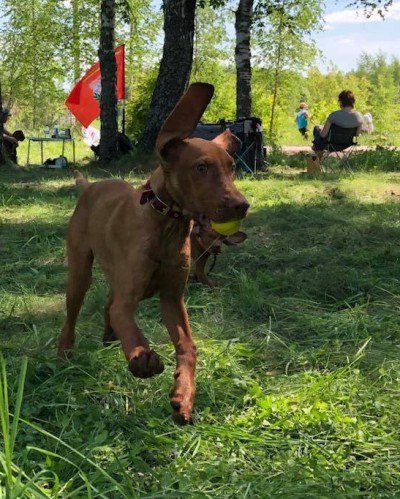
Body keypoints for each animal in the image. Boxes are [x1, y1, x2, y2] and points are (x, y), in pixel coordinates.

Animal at [57, 83, 248, 426]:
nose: (242, 205)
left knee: (108, 303)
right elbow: (130, 327)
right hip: (80, 272)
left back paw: (108, 335)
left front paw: (184, 395)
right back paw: (65, 350)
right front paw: (142, 359)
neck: (167, 225)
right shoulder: (129, 298)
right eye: (201, 167)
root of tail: (90, 187)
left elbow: (188, 347)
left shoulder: (173, 298)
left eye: (232, 168)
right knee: (74, 312)